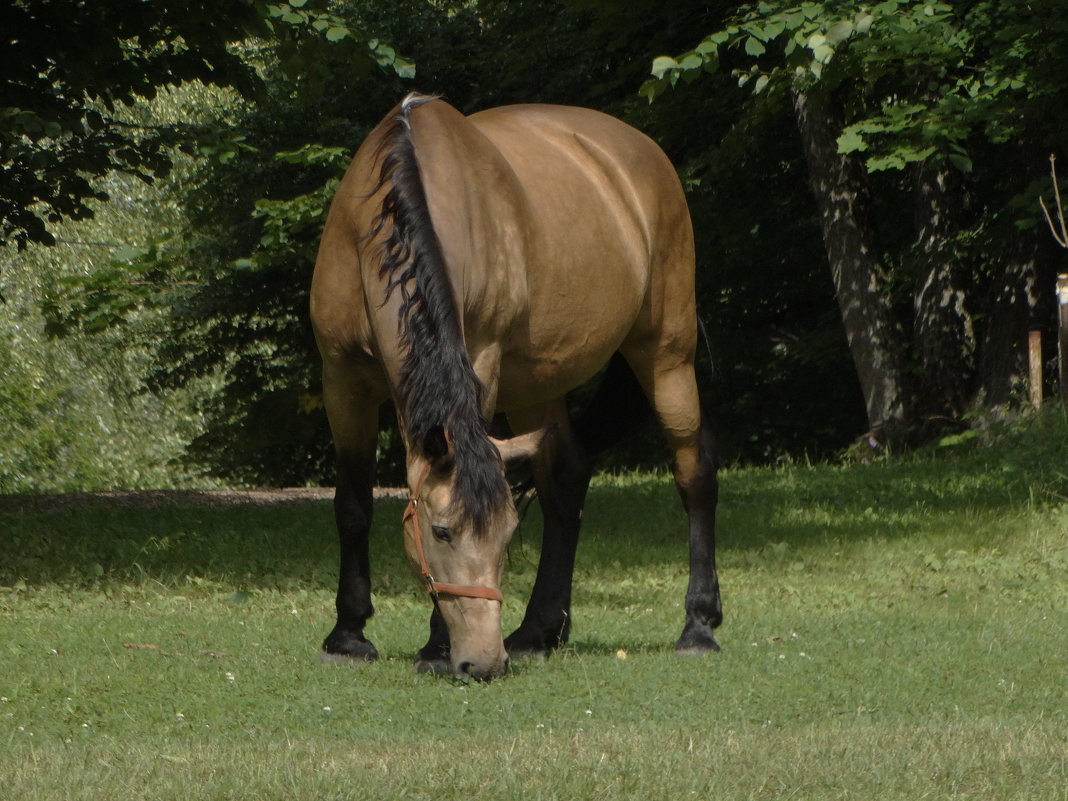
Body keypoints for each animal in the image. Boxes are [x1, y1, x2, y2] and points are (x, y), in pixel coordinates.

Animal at [311, 95, 721, 683]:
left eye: (506, 536)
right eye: (441, 532)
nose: (483, 661)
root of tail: (643, 153)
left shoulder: (480, 360)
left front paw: (433, 647)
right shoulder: (341, 381)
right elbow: (352, 505)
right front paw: (347, 634)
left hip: (667, 356)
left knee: (694, 472)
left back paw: (699, 626)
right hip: (538, 388)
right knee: (565, 481)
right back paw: (537, 631)